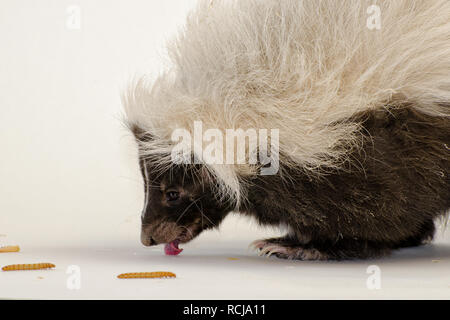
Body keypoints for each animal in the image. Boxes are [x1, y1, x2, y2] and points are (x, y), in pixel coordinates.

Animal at [123, 0, 450, 258]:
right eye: (148, 185)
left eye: (173, 193)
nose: (148, 236)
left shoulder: (365, 150)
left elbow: (378, 212)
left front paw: (302, 247)